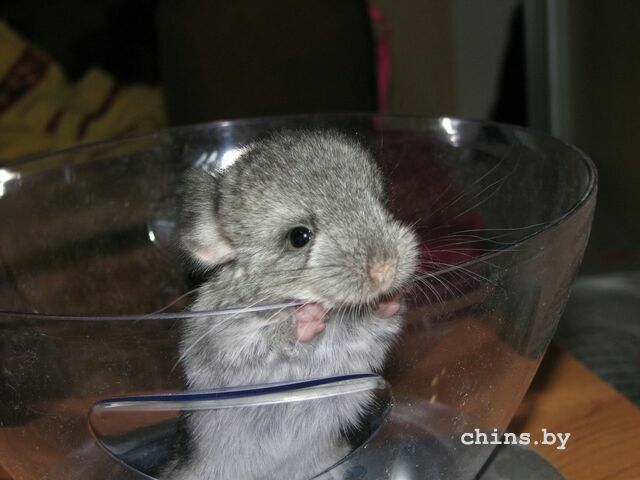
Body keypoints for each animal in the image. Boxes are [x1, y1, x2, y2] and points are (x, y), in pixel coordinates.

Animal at [163, 131, 418, 480]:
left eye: (382, 204)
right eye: (299, 237)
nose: (385, 271)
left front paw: (389, 303)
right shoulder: (225, 344)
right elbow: (260, 338)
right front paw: (306, 317)